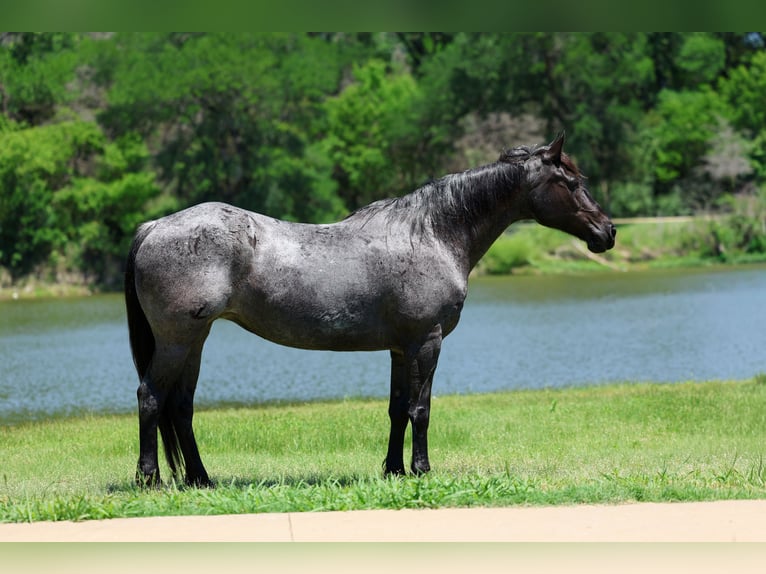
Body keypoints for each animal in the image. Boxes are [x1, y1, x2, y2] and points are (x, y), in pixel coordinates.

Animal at [124, 133, 616, 487]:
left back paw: (200, 479)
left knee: (180, 407)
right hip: (176, 341)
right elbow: (421, 409)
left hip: (195, 340)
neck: (432, 233)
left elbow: (398, 409)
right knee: (151, 398)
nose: (607, 231)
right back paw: (150, 479)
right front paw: (421, 470)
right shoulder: (426, 342)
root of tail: (154, 225)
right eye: (572, 183)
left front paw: (393, 470)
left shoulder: (401, 348)